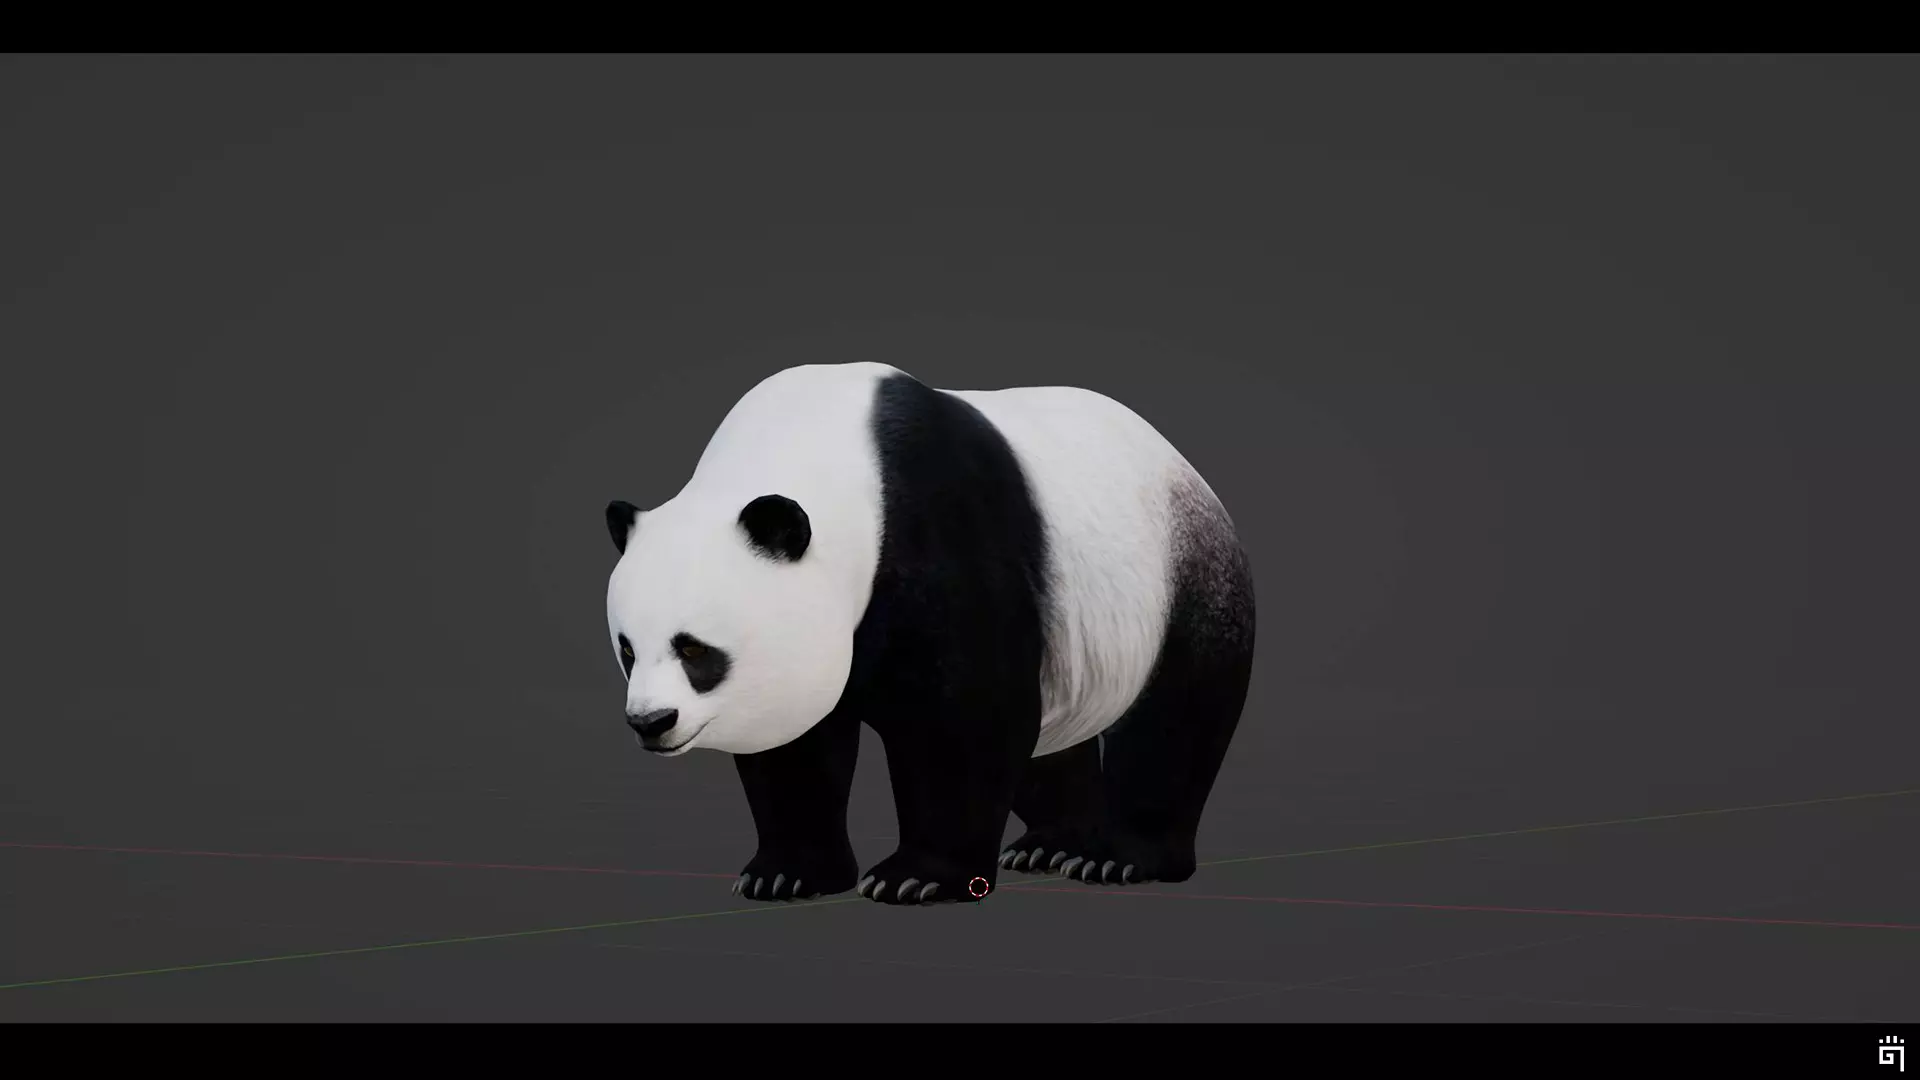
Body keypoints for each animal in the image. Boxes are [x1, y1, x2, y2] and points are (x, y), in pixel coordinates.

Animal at [604, 362, 1254, 906]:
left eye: (695, 650)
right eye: (627, 649)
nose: (650, 722)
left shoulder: (941, 534)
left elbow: (965, 715)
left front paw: (916, 878)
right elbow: (796, 742)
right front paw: (786, 874)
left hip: (1179, 580)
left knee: (1172, 720)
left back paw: (1121, 859)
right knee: (1050, 736)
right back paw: (1053, 845)